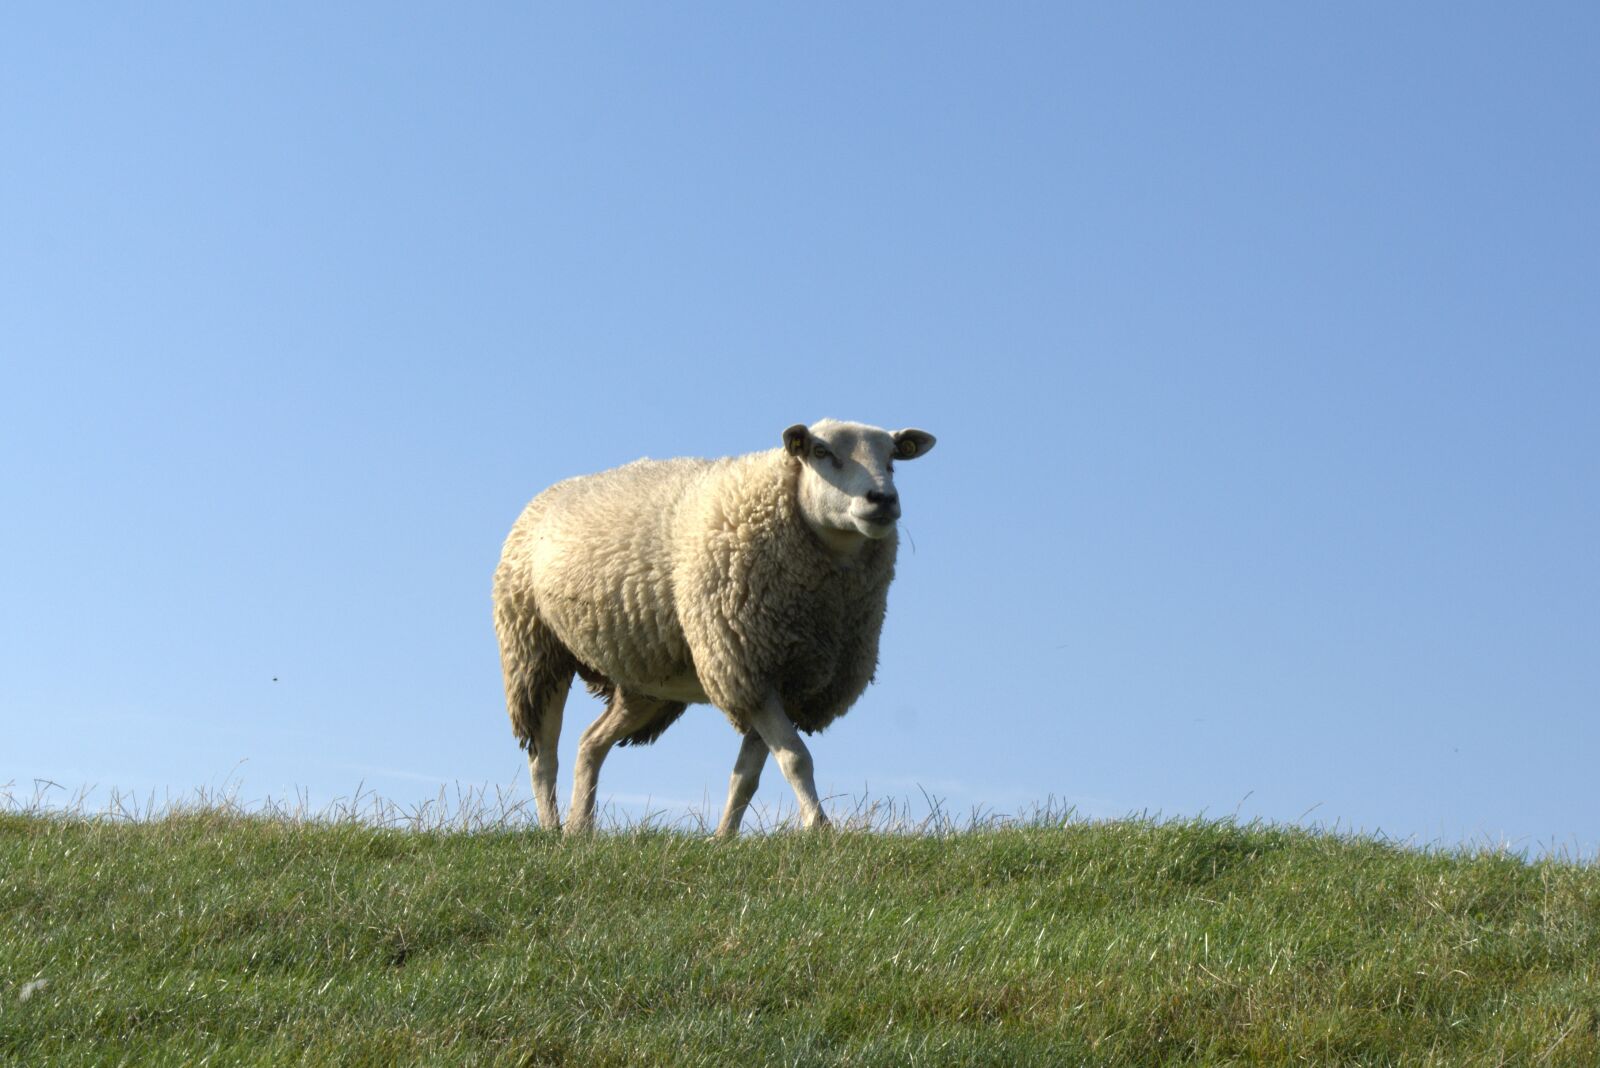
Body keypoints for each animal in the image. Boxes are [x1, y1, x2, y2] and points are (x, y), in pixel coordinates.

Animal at [492, 418, 937, 835]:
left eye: (893, 459)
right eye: (821, 452)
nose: (883, 499)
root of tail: (548, 494)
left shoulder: (779, 679)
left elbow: (748, 774)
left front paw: (723, 837)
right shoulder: (744, 667)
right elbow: (795, 758)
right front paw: (818, 827)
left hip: (645, 684)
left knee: (590, 742)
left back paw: (580, 829)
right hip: (535, 649)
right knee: (543, 754)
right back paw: (552, 829)